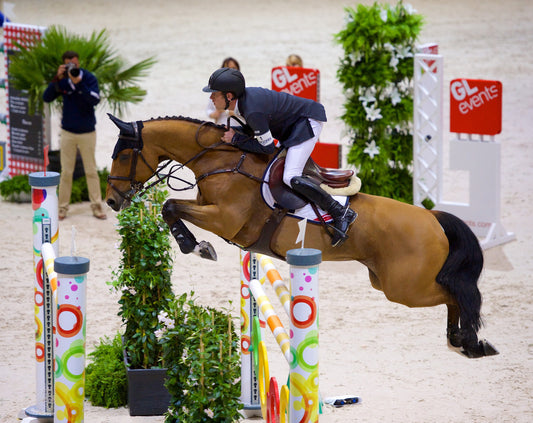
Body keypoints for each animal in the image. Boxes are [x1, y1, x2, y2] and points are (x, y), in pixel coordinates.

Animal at [105, 114, 498, 360]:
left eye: (123, 154)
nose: (111, 200)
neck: (219, 161)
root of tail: (432, 217)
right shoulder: (206, 206)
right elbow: (171, 207)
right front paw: (195, 244)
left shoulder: (225, 219)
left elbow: (170, 205)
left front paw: (198, 246)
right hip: (389, 282)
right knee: (454, 295)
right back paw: (461, 341)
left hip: (404, 288)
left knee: (456, 293)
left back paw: (472, 342)